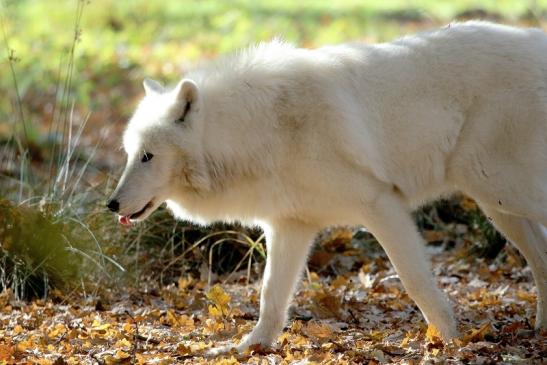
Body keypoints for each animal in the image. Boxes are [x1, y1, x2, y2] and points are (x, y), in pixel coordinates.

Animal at [108, 22, 547, 352]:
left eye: (148, 156)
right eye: (129, 154)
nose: (111, 204)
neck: (259, 131)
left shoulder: (381, 204)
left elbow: (416, 282)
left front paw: (450, 342)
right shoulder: (290, 226)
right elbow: (270, 297)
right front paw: (250, 347)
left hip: (501, 190)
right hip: (498, 205)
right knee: (541, 257)